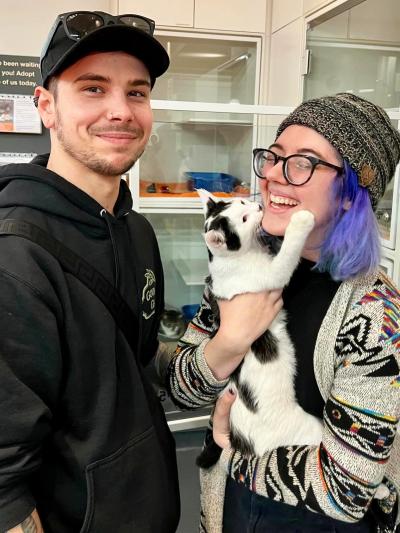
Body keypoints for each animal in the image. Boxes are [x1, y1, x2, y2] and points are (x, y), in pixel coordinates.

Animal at [195, 188, 324, 466]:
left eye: (243, 202)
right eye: (243, 219)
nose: (259, 207)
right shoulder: (269, 276)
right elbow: (286, 256)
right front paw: (301, 221)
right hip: (309, 429)